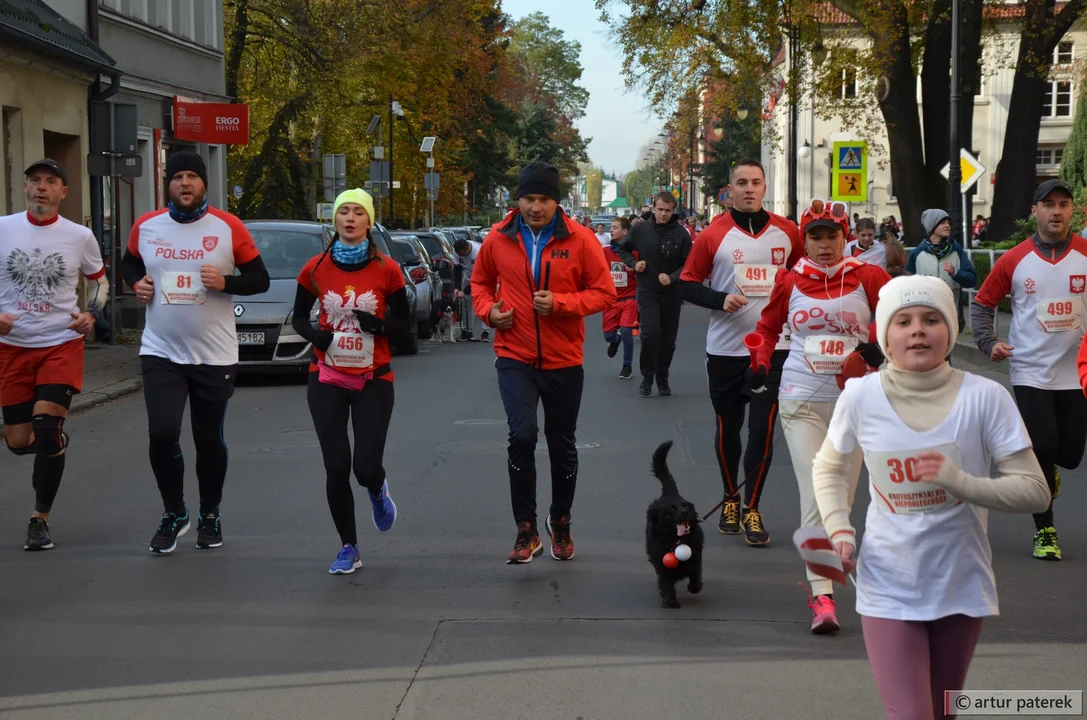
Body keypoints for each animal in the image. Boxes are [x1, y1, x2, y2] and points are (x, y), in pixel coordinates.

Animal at [643, 439, 704, 609]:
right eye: (671, 509)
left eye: (686, 506)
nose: (684, 512)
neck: (677, 541)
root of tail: (669, 494)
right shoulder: (661, 563)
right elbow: (666, 583)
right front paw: (670, 601)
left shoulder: (696, 556)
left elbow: (695, 572)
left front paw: (695, 587)